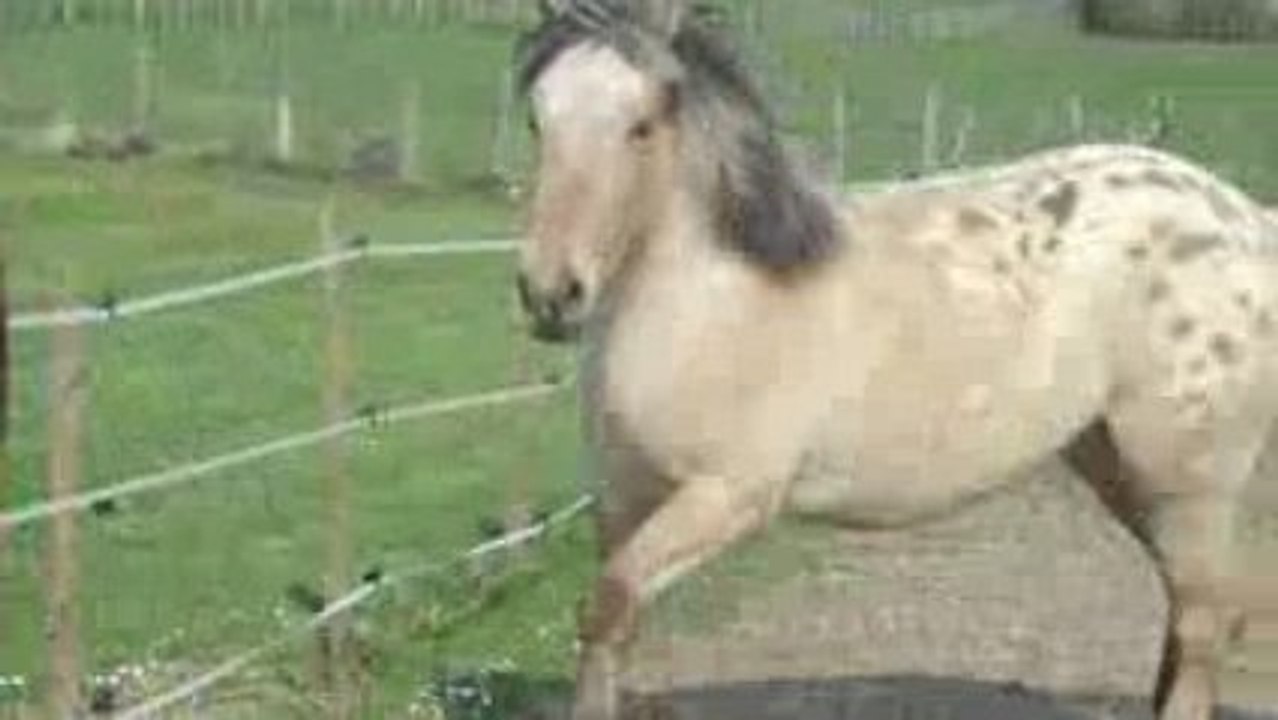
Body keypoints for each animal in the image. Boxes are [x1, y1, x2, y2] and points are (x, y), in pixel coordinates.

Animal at [512, 1, 1278, 718]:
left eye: (641, 125)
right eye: (537, 121)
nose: (551, 293)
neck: (715, 300)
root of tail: (1241, 218)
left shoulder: (728, 496)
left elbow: (609, 601)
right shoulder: (623, 498)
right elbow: (610, 625)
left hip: (1191, 482)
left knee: (1206, 621)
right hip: (1118, 465)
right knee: (1185, 606)